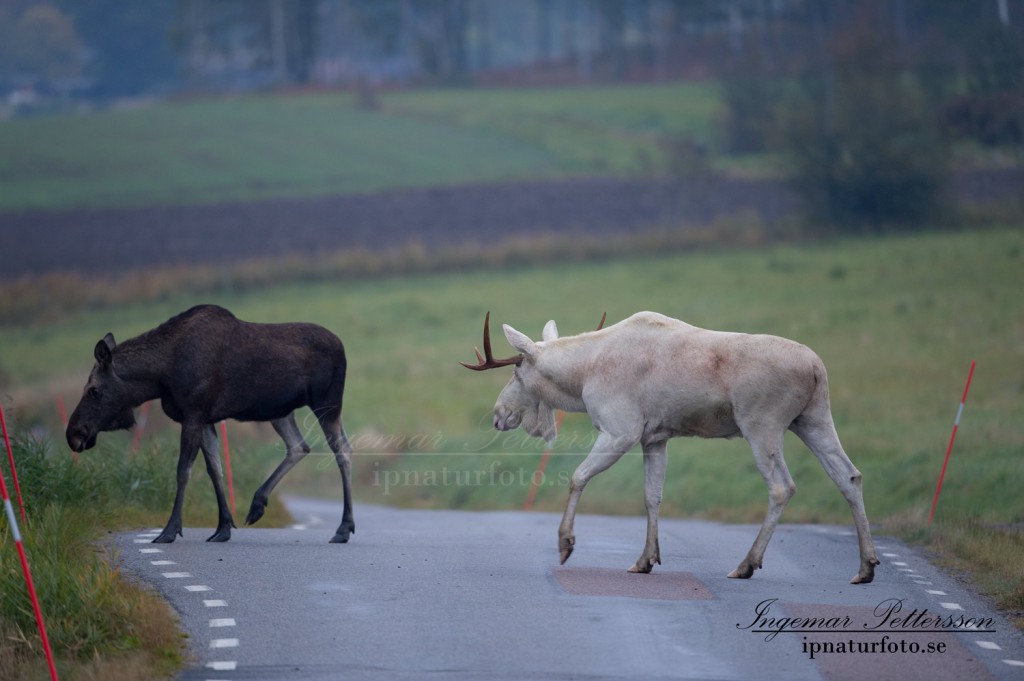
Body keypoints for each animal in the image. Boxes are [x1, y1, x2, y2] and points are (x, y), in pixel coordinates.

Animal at [67, 303, 356, 540]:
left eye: (93, 389)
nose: (74, 433)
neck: (161, 376)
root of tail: (343, 347)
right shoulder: (205, 419)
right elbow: (214, 469)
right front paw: (223, 527)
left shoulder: (193, 413)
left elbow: (183, 471)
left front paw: (169, 530)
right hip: (281, 412)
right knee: (299, 446)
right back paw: (257, 504)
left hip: (327, 403)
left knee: (342, 450)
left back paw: (344, 528)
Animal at [464, 311, 880, 581]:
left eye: (517, 372)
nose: (499, 414)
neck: (581, 377)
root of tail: (816, 368)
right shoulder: (655, 437)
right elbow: (653, 496)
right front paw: (646, 559)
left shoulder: (620, 430)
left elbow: (577, 477)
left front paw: (566, 544)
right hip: (813, 418)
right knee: (849, 476)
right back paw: (864, 566)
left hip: (763, 424)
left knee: (782, 487)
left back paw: (746, 564)